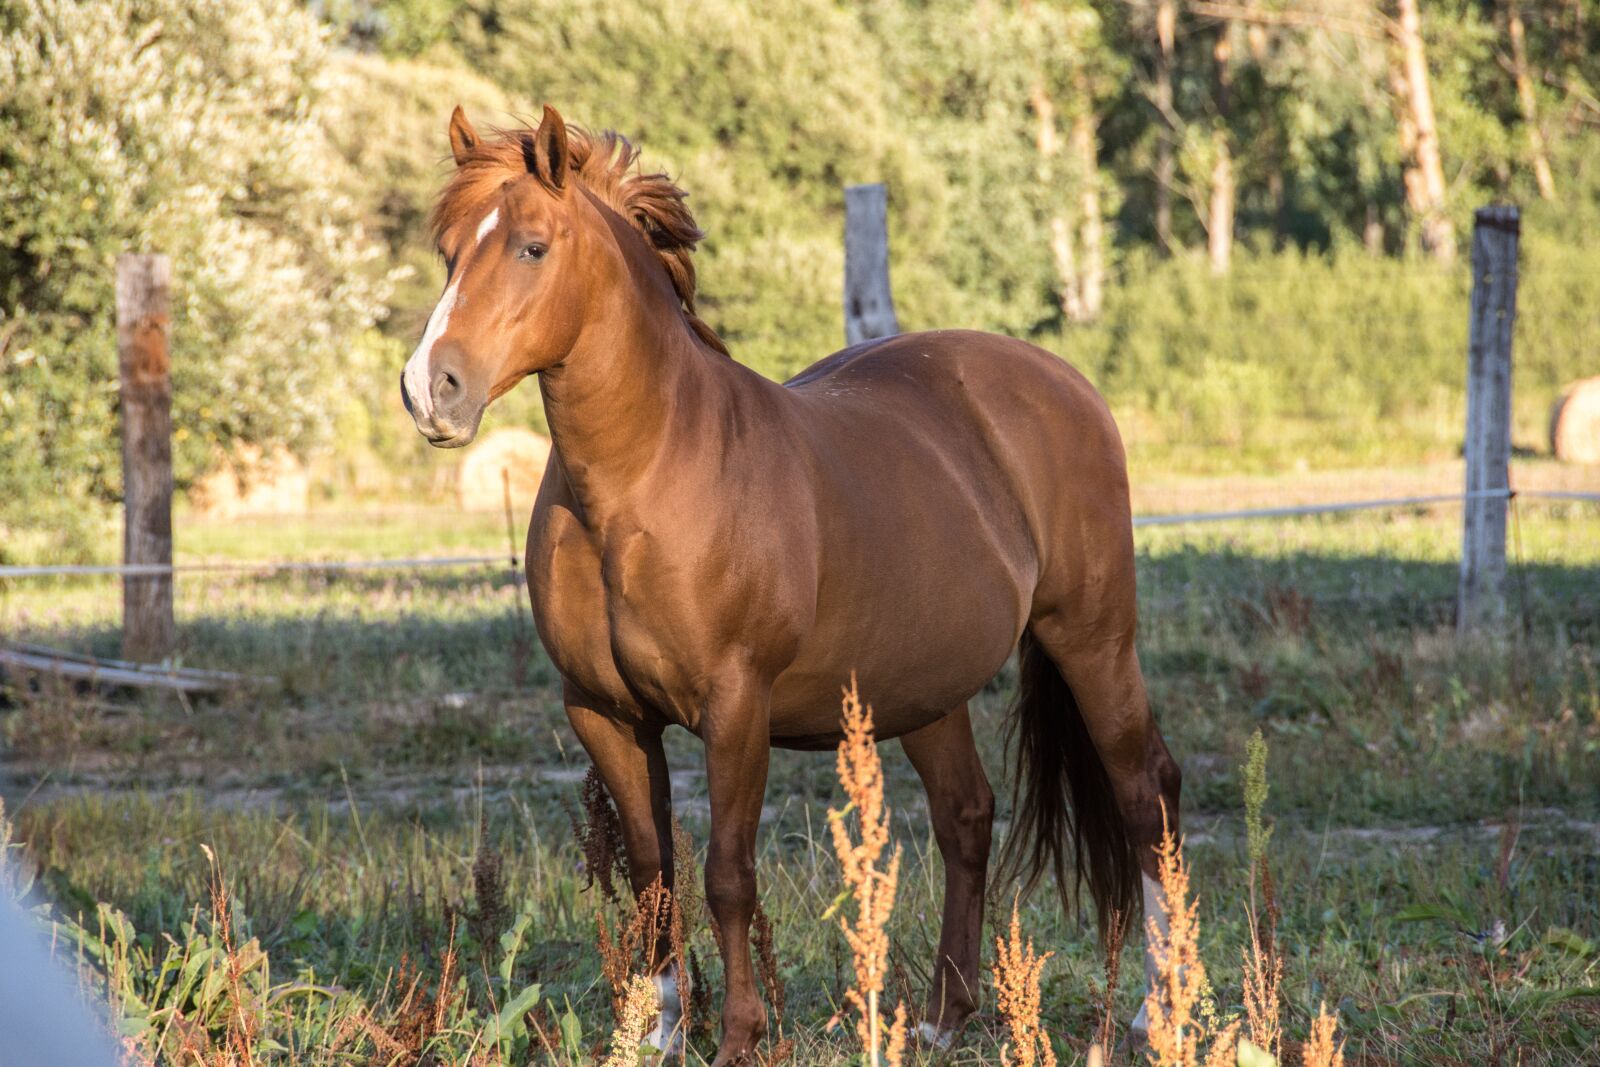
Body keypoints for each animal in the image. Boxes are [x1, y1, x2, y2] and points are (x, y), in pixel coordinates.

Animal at [400, 105, 1182, 1064]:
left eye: (532, 247)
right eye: (447, 254)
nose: (430, 389)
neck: (646, 474)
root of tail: (1066, 384)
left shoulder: (736, 707)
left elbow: (728, 873)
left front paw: (739, 1036)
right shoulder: (604, 713)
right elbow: (656, 873)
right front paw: (660, 1031)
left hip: (1093, 642)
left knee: (1148, 794)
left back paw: (1154, 1009)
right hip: (923, 688)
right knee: (966, 815)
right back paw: (941, 1016)